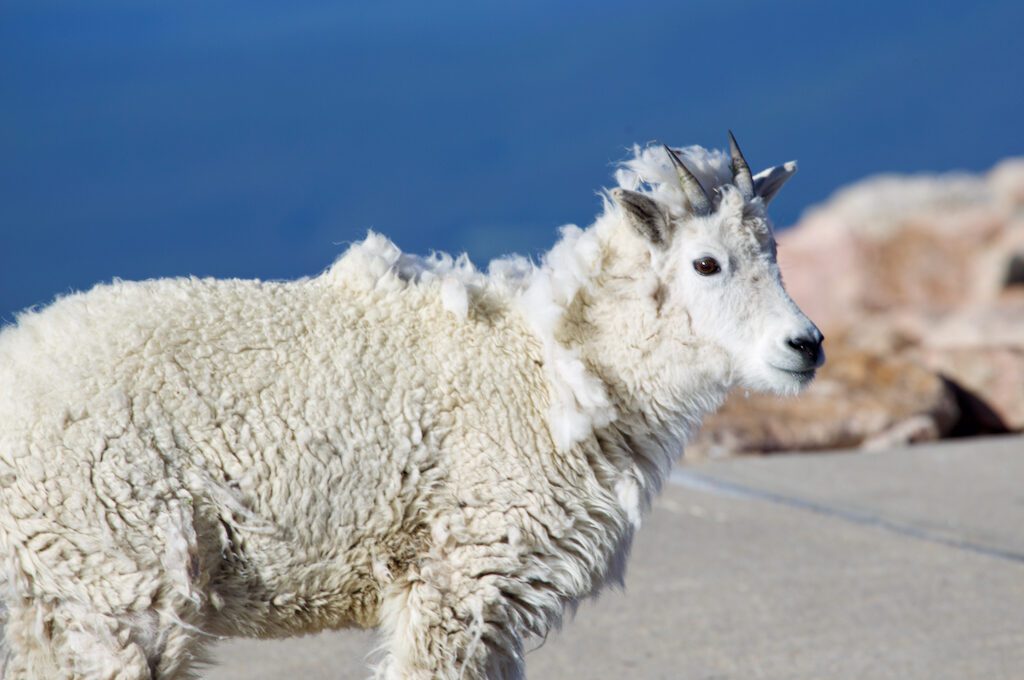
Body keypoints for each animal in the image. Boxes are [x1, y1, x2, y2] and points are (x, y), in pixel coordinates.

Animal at [0, 135, 819, 675]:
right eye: (706, 263)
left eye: (775, 252)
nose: (806, 345)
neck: (555, 369)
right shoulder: (458, 574)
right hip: (113, 575)